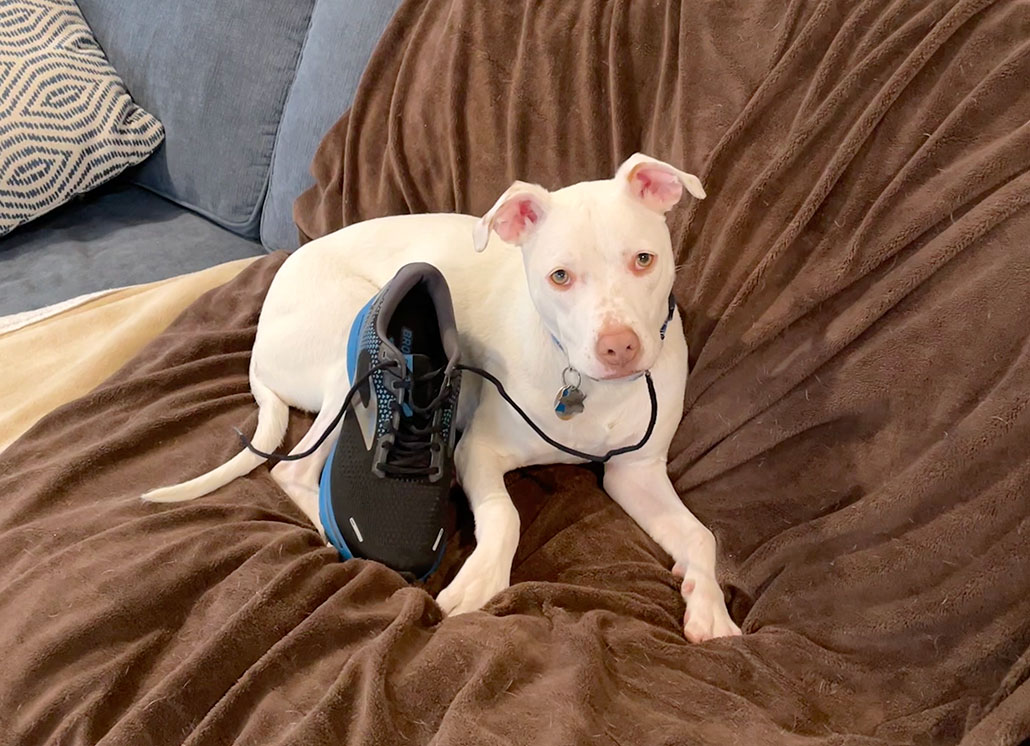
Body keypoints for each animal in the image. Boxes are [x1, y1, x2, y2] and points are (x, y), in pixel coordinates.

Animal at [145, 154, 741, 642]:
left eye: (644, 260)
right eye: (560, 276)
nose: (619, 347)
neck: (588, 387)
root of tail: (260, 334)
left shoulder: (635, 472)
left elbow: (701, 537)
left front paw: (709, 605)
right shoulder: (477, 451)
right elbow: (506, 516)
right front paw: (480, 580)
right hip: (346, 348)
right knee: (292, 470)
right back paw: (334, 536)